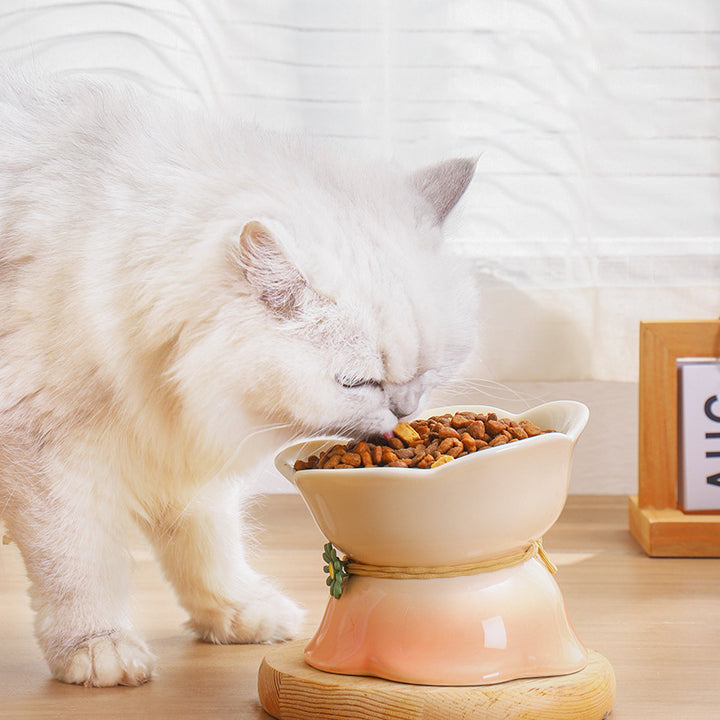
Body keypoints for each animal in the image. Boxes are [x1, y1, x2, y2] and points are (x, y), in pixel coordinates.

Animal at [0, 73, 478, 688]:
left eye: (427, 372)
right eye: (358, 383)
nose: (403, 411)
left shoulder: (187, 454)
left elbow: (210, 551)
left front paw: (238, 617)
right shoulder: (50, 456)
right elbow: (79, 567)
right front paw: (98, 649)